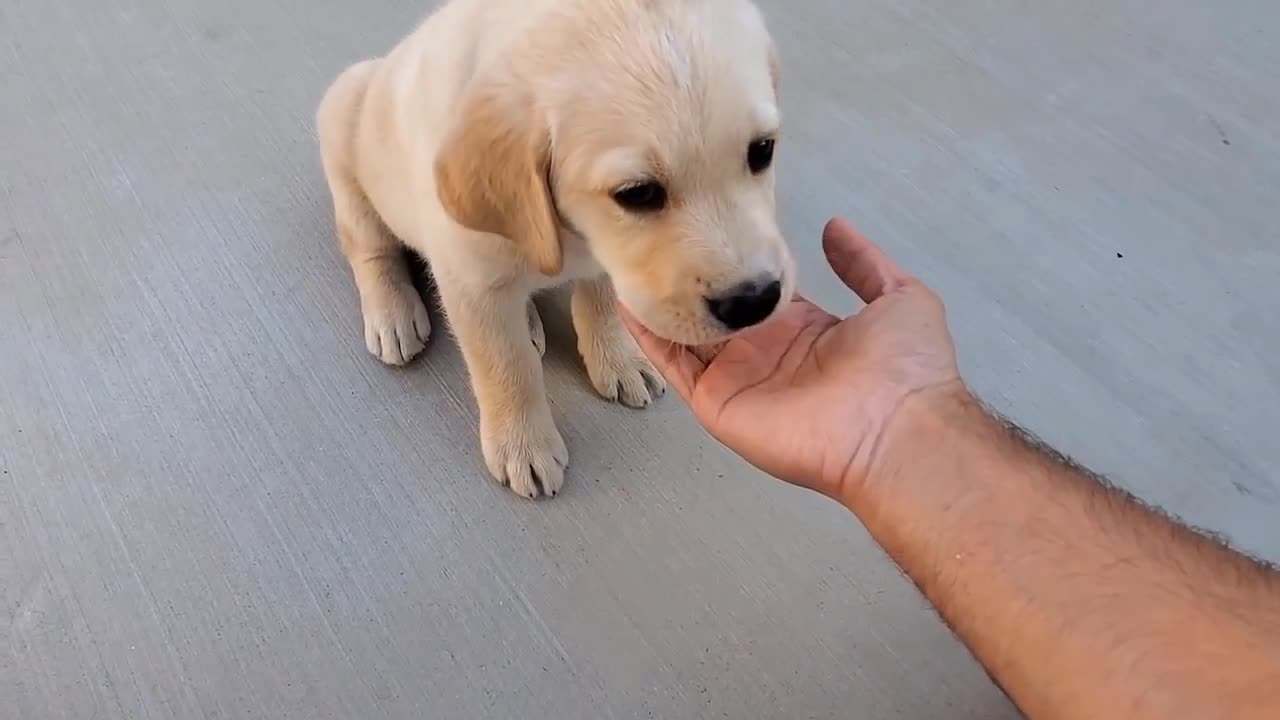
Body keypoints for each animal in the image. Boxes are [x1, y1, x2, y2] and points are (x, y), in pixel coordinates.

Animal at [317, 0, 788, 497]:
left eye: (762, 150)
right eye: (638, 193)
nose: (755, 301)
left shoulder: (605, 259)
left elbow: (600, 304)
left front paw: (618, 358)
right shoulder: (471, 284)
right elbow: (506, 364)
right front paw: (523, 445)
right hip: (343, 120)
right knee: (369, 244)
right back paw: (393, 313)